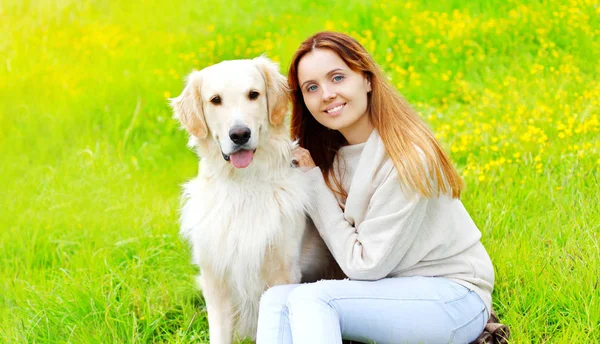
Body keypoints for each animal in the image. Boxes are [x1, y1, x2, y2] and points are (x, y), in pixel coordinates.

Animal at [171, 55, 340, 342]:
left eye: (253, 94)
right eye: (215, 100)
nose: (239, 134)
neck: (244, 185)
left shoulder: (282, 273)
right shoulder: (216, 281)